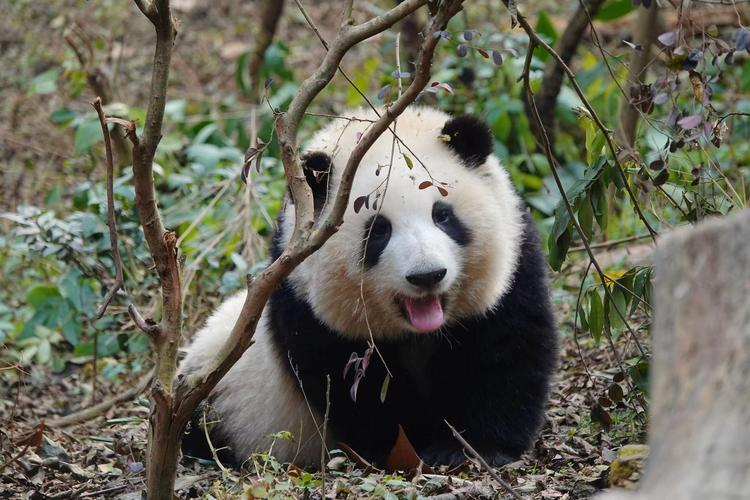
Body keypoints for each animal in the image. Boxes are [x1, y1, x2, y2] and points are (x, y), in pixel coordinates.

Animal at [179, 105, 560, 468]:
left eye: (442, 215)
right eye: (379, 230)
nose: (427, 275)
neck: (418, 333)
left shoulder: (515, 268)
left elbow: (504, 355)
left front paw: (470, 448)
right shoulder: (306, 304)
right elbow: (357, 390)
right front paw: (411, 446)